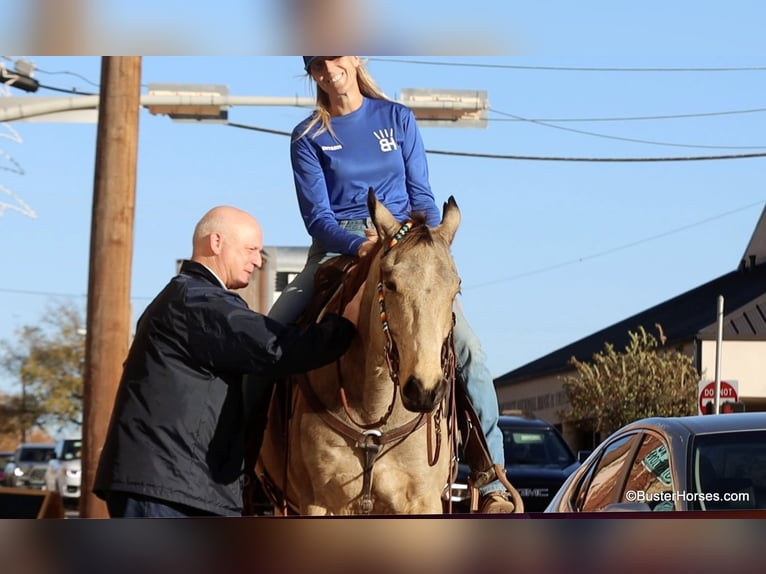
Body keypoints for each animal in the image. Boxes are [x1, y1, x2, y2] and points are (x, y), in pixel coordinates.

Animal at [255, 190, 464, 516]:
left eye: (456, 289)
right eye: (390, 283)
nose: (423, 390)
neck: (374, 417)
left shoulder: (423, 501)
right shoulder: (321, 503)